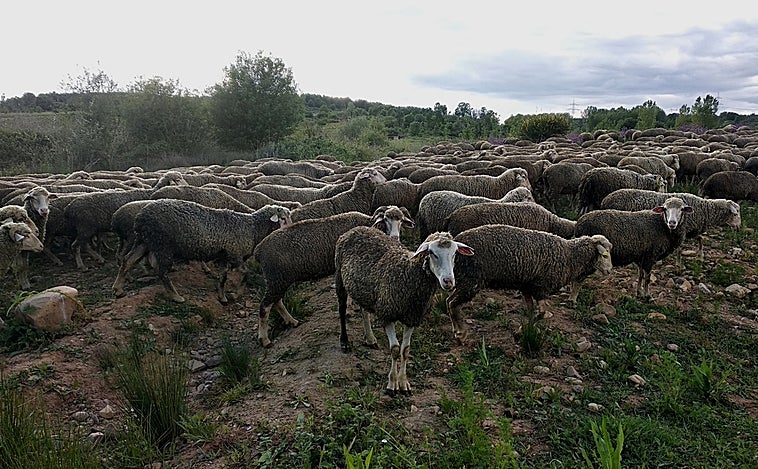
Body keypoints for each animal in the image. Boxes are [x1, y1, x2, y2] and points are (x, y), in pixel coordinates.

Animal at [112, 201, 291, 304]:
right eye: (282, 218)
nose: (290, 228)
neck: (253, 228)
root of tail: (140, 217)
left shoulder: (225, 256)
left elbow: (223, 277)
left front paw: (222, 297)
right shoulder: (235, 255)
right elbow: (246, 273)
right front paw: (236, 295)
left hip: (145, 241)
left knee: (128, 260)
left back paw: (118, 289)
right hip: (162, 244)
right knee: (161, 271)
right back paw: (176, 296)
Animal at [253, 206, 415, 348]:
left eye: (401, 220)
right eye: (386, 219)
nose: (395, 237)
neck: (369, 224)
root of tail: (259, 250)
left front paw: (352, 305)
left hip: (278, 280)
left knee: (277, 301)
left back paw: (292, 321)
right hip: (276, 278)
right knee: (264, 307)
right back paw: (265, 340)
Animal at [335, 227, 474, 395]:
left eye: (454, 253)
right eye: (432, 253)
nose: (449, 281)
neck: (408, 275)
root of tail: (357, 229)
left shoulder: (412, 317)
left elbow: (405, 350)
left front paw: (404, 384)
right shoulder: (387, 314)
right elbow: (395, 350)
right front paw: (392, 385)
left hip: (363, 289)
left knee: (364, 310)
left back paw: (370, 338)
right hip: (339, 277)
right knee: (342, 309)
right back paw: (344, 341)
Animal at [447, 225, 612, 342]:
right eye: (604, 255)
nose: (610, 271)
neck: (569, 256)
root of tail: (457, 243)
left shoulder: (527, 287)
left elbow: (532, 312)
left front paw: (524, 329)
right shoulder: (541, 288)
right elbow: (542, 313)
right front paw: (521, 330)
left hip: (466, 280)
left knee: (449, 302)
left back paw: (456, 331)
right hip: (472, 280)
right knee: (452, 303)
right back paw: (461, 333)